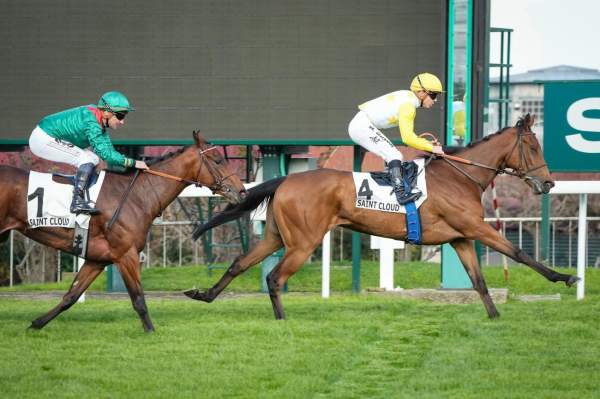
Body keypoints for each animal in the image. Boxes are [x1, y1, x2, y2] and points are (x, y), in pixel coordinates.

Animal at [1, 133, 246, 332]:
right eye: (218, 160)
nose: (242, 192)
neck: (137, 195)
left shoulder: (97, 259)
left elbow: (70, 296)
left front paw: (36, 324)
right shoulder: (125, 255)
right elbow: (138, 299)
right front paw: (151, 332)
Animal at [189, 114, 580, 320]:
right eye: (533, 147)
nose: (548, 182)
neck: (460, 176)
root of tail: (286, 178)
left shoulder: (460, 238)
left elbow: (479, 280)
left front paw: (495, 316)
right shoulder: (475, 228)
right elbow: (519, 253)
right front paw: (565, 278)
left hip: (276, 236)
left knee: (240, 263)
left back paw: (204, 295)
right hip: (303, 242)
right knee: (274, 277)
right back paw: (281, 319)